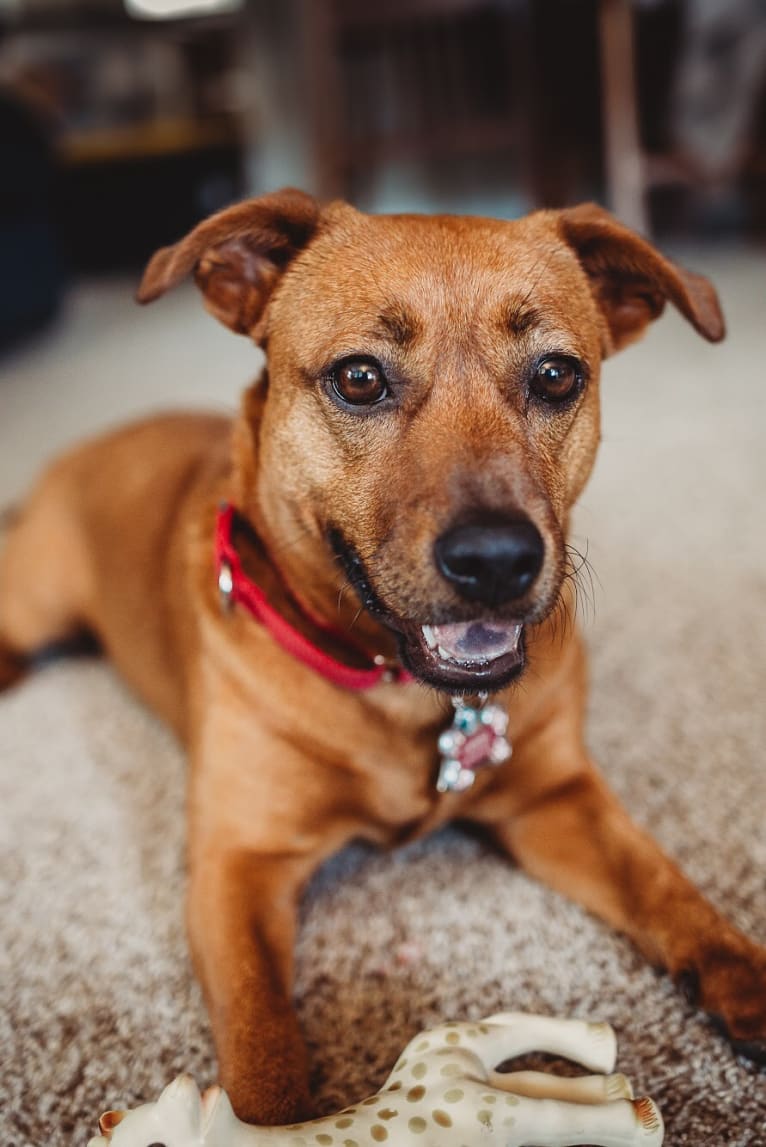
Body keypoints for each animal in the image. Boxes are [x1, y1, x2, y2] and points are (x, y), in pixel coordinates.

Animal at [1, 194, 766, 1119]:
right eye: (360, 378)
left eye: (556, 375)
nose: (497, 560)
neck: (402, 686)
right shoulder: (238, 865)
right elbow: (261, 1040)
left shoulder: (558, 795)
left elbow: (667, 886)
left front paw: (746, 979)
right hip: (34, 598)